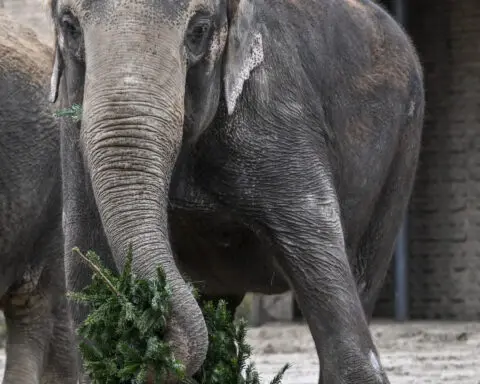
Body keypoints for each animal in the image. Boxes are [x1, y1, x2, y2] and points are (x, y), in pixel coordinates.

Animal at [47, 0, 424, 382]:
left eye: (199, 30)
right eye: (70, 26)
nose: (156, 337)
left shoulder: (274, 115)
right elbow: (86, 265)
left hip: (403, 150)